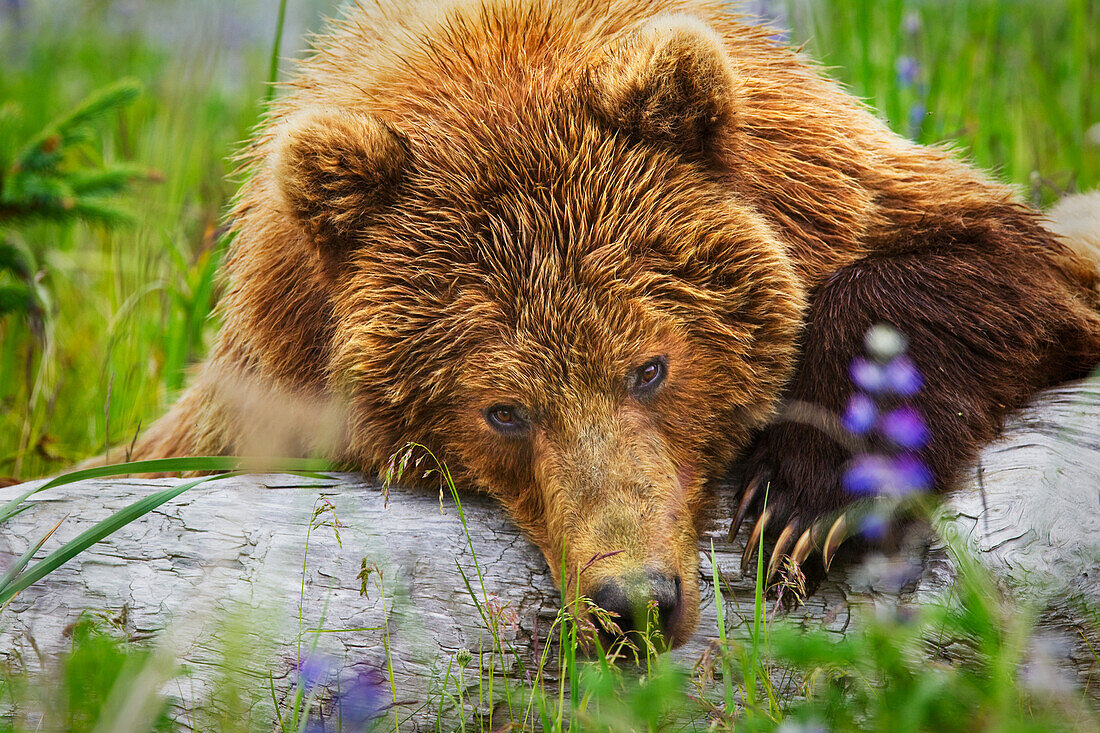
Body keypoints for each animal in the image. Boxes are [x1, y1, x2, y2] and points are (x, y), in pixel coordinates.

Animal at [130, 1, 1100, 651]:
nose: (635, 599)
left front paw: (805, 501)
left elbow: (997, 265)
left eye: (650, 366)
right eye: (503, 410)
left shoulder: (836, 183)